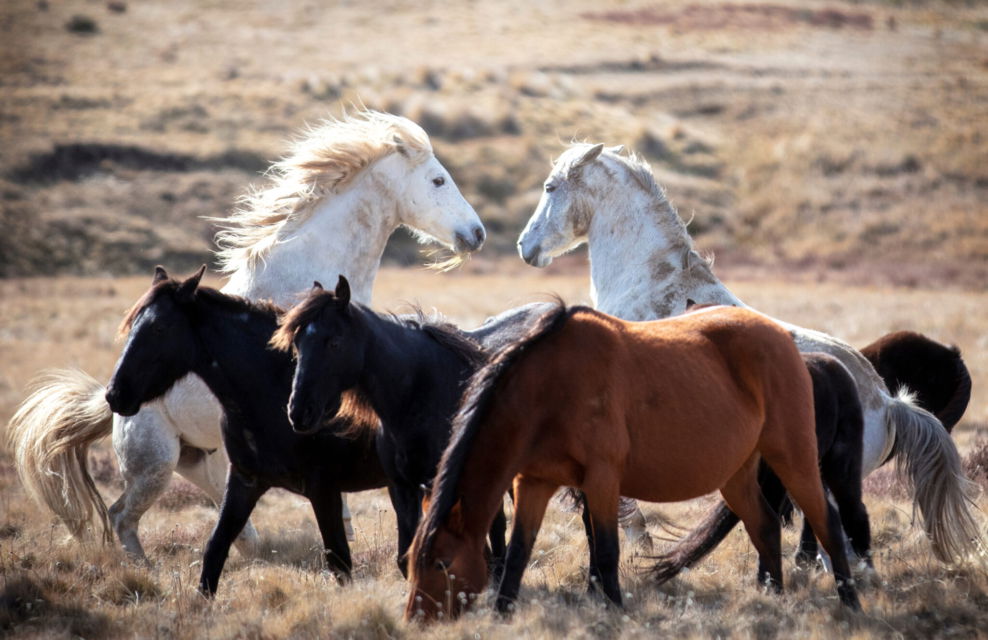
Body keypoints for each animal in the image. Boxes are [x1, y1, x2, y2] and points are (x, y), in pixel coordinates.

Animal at [7, 110, 485, 560]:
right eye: (438, 179)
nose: (476, 233)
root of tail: (109, 405)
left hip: (203, 460)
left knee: (229, 523)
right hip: (154, 465)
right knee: (120, 516)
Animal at [103, 266, 391, 595]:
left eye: (159, 328)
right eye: (133, 325)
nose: (115, 394)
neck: (275, 389)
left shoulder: (324, 489)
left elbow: (339, 561)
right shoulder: (245, 481)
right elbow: (215, 548)